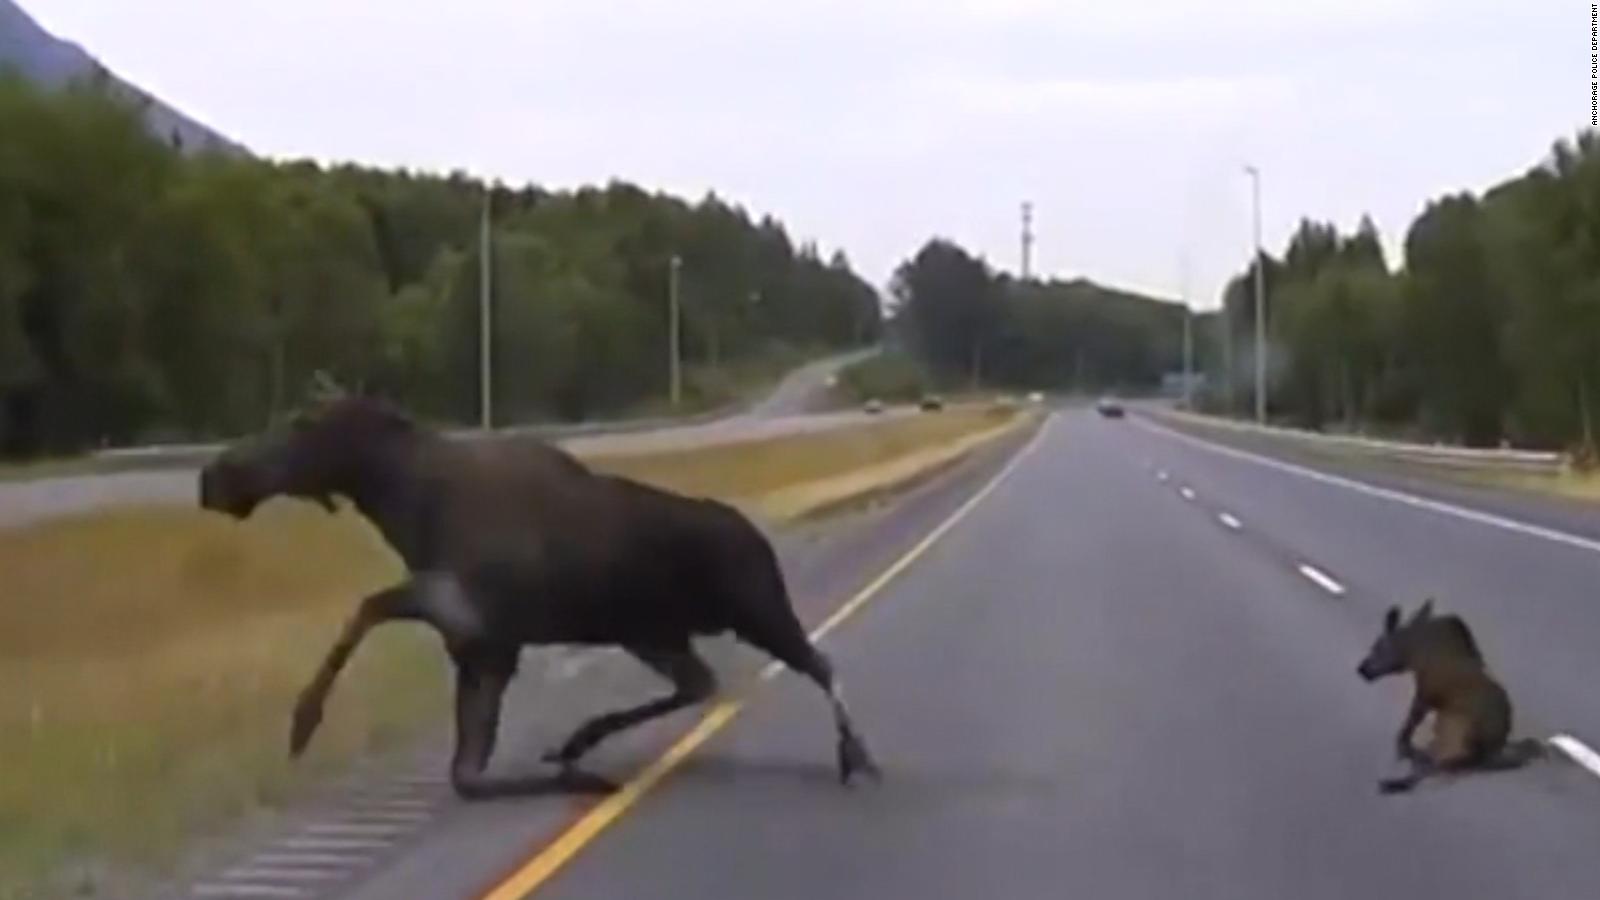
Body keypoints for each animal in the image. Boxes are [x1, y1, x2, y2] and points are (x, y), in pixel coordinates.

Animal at [200, 395, 883, 794]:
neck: (402, 503)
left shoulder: (480, 628)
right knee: (703, 682)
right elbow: (464, 766)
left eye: (300, 426)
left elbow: (364, 611)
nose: (214, 475)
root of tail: (758, 538)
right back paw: (579, 741)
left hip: (755, 610)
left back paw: (856, 752)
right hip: (654, 631)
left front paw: (302, 721)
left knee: (818, 663)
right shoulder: (477, 641)